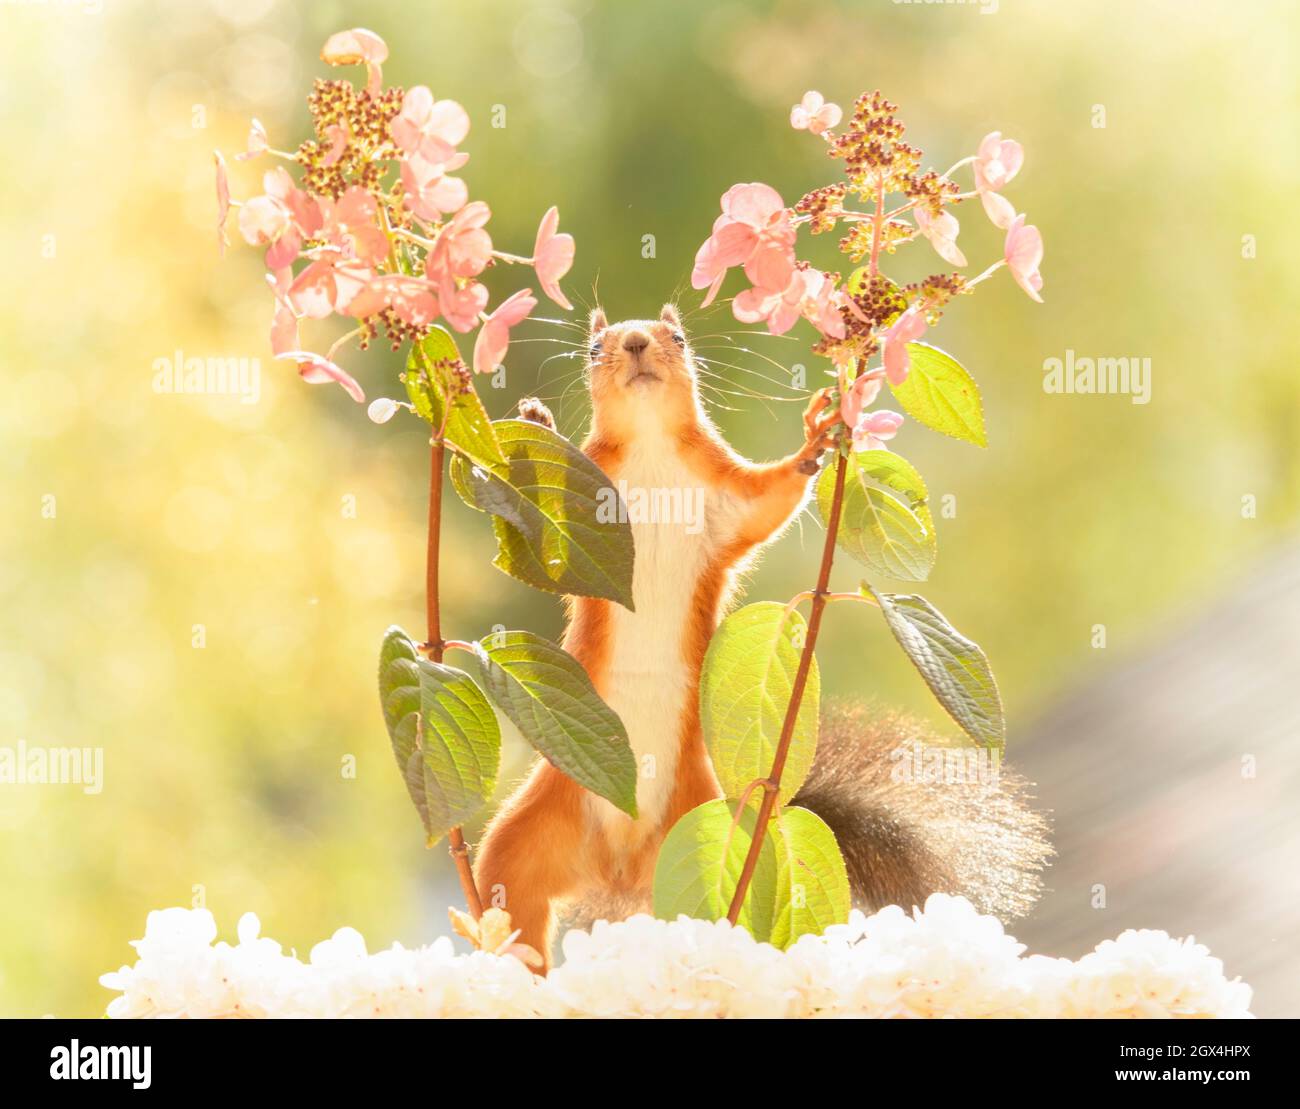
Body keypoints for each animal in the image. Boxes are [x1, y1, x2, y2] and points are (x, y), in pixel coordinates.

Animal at [474, 304, 1050, 970]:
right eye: (595, 349)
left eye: (678, 338)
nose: (638, 342)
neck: (650, 448)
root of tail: (621, 870)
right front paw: (535, 427)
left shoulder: (725, 497)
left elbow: (767, 501)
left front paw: (816, 443)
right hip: (537, 828)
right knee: (510, 890)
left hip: (709, 828)